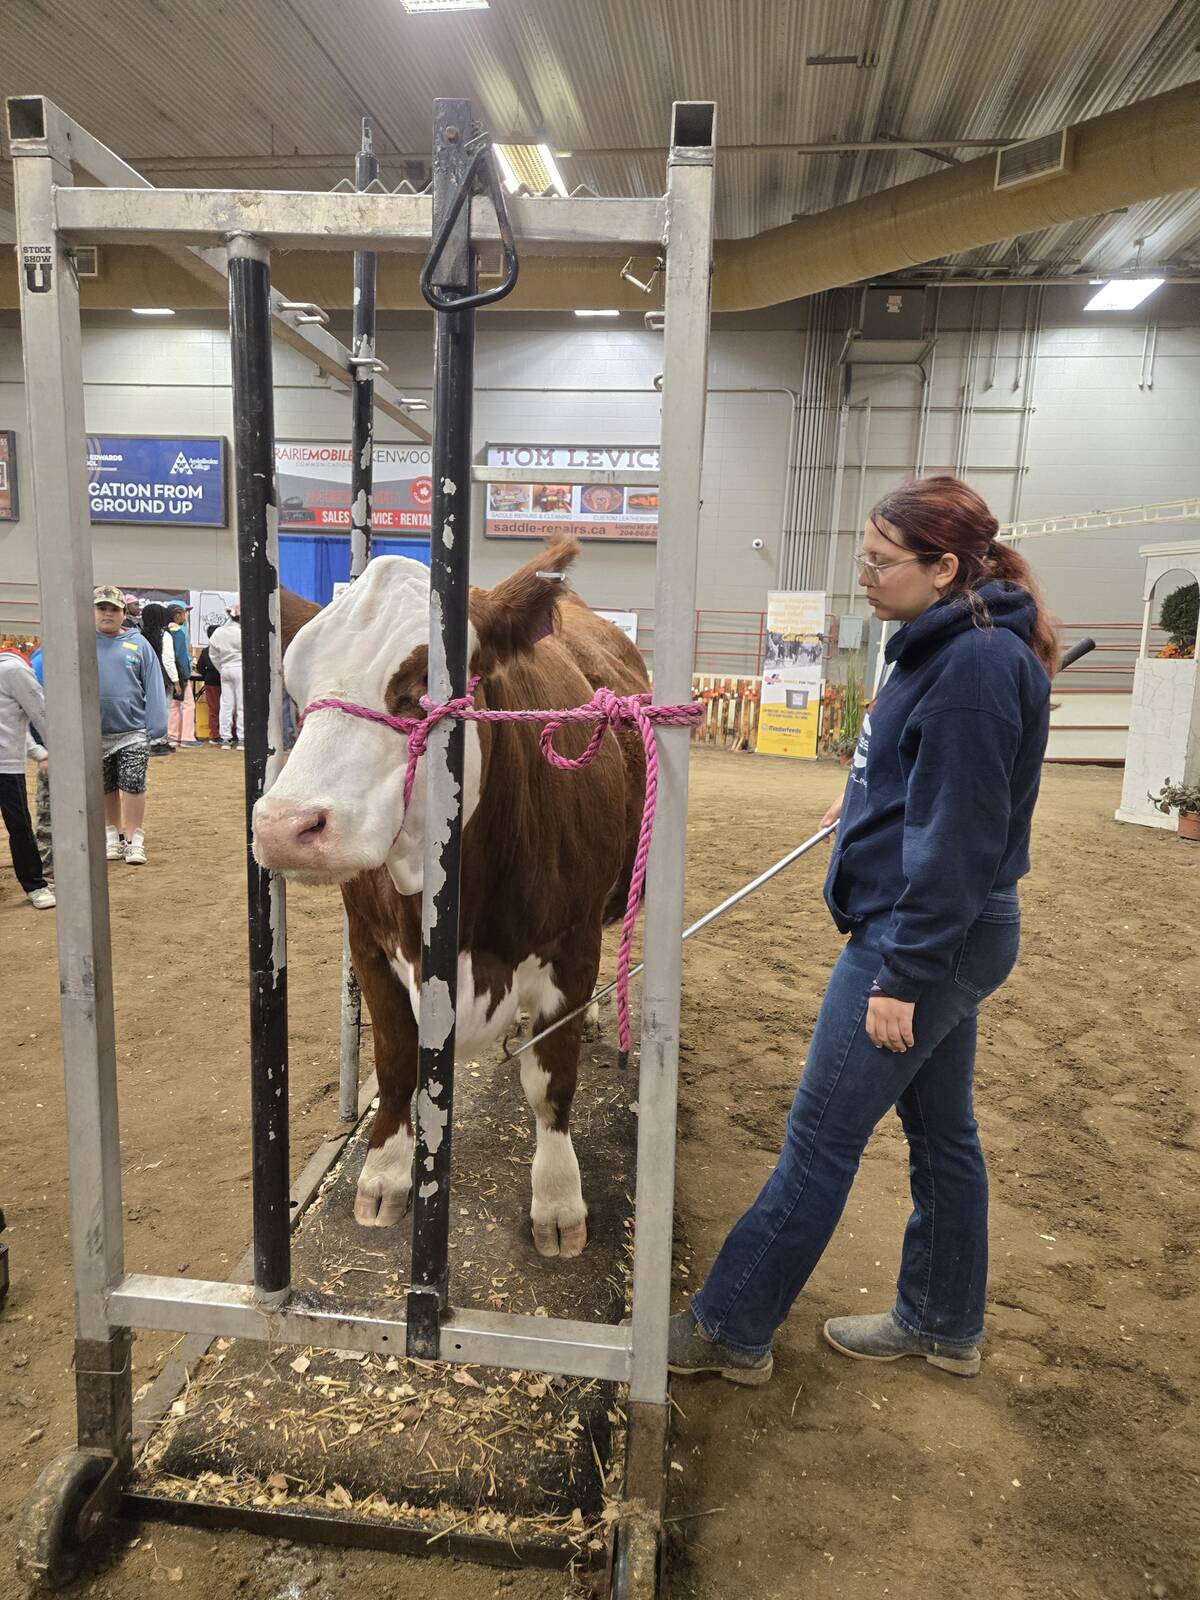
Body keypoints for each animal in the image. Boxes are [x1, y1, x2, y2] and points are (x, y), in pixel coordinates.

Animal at [257, 539, 648, 1258]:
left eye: (423, 688)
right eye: (295, 690)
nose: (283, 826)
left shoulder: (572, 943)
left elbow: (551, 1080)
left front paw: (558, 1201)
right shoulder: (370, 943)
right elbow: (395, 1061)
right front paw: (385, 1173)